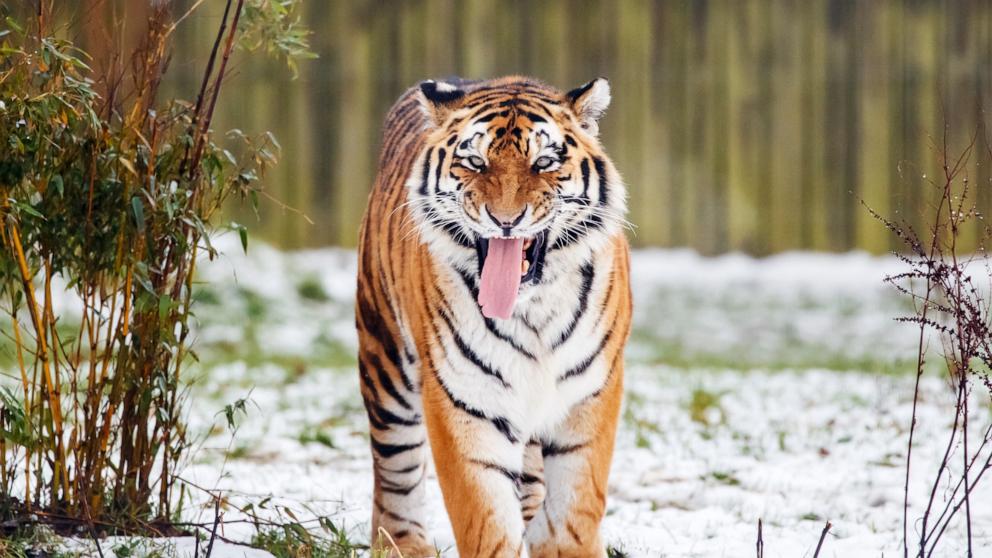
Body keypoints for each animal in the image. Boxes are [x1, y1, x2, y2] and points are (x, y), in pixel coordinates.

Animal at [355, 75, 632, 557]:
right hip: (385, 361)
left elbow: (573, 511)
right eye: (475, 162)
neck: (533, 309)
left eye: (543, 163)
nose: (506, 220)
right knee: (395, 470)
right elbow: (485, 517)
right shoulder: (464, 401)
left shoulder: (590, 394)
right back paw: (403, 545)